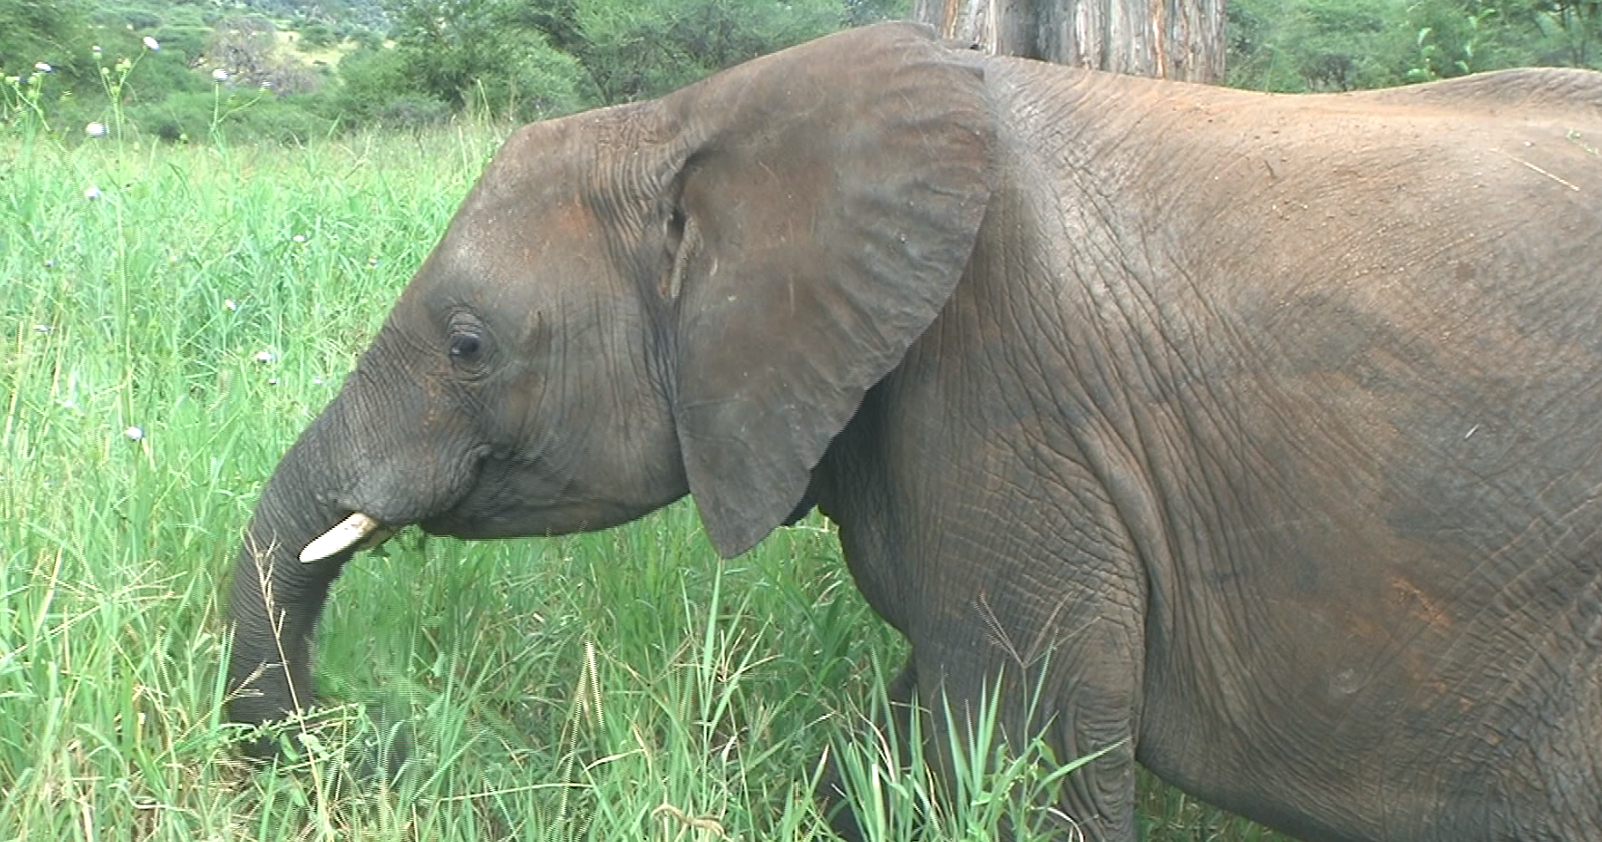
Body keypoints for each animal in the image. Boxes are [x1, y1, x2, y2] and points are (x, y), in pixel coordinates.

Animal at [224, 20, 1602, 842]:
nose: (345, 749)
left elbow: (1027, 753)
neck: (701, 115)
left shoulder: (1010, 407)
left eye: (466, 344)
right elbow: (901, 747)